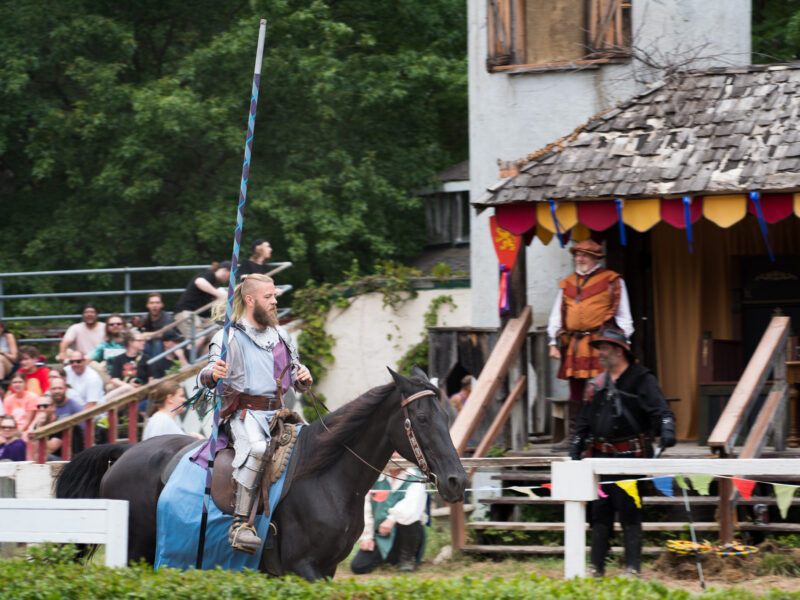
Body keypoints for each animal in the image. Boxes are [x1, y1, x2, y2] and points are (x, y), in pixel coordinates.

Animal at [56, 368, 466, 580]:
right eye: (423, 418)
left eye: (447, 415)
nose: (456, 481)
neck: (327, 477)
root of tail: (126, 451)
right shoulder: (304, 569)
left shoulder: (327, 569)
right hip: (136, 553)